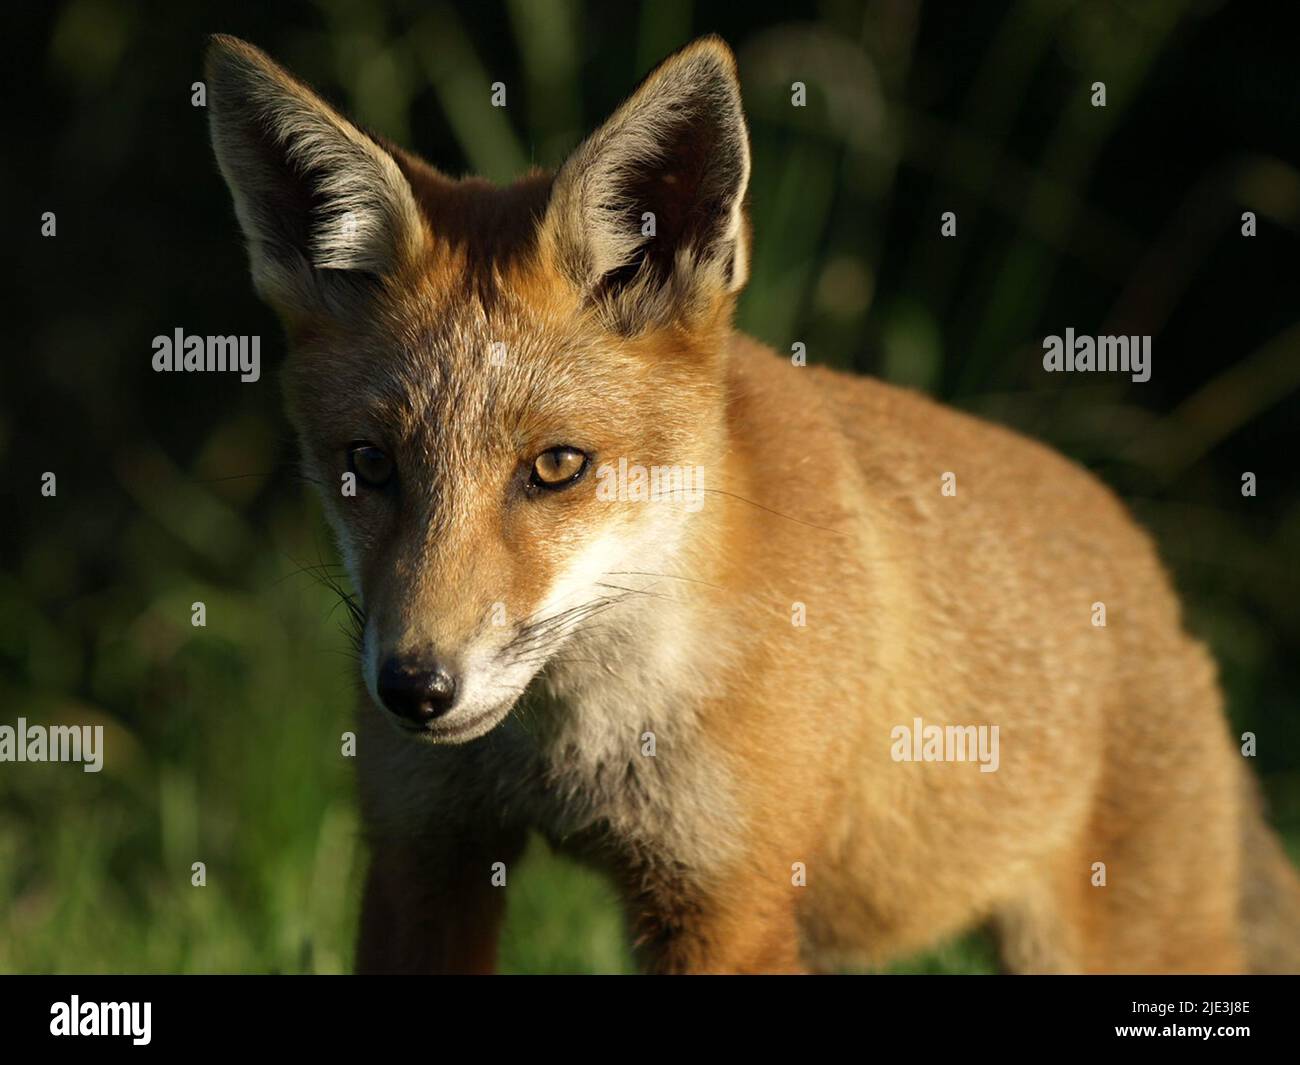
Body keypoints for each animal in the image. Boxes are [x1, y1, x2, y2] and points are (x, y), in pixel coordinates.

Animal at [204, 32, 1300, 974]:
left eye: (556, 466)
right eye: (369, 464)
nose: (414, 688)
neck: (571, 754)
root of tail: (1148, 571)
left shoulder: (725, 902)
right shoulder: (426, 859)